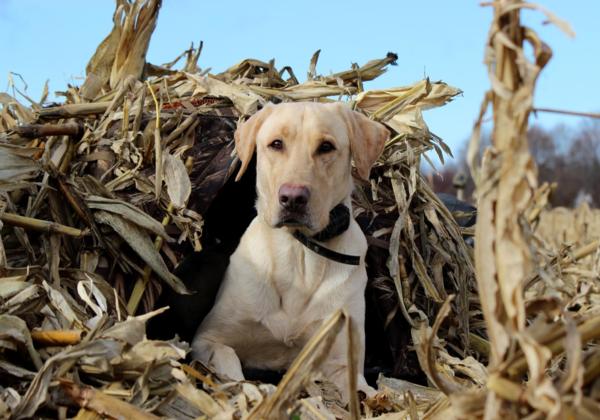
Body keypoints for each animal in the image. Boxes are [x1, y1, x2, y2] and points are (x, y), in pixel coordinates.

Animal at [192, 101, 390, 400]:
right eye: (276, 144)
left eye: (326, 147)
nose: (293, 198)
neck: (300, 253)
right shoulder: (207, 338)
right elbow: (229, 360)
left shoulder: (342, 362)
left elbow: (358, 391)